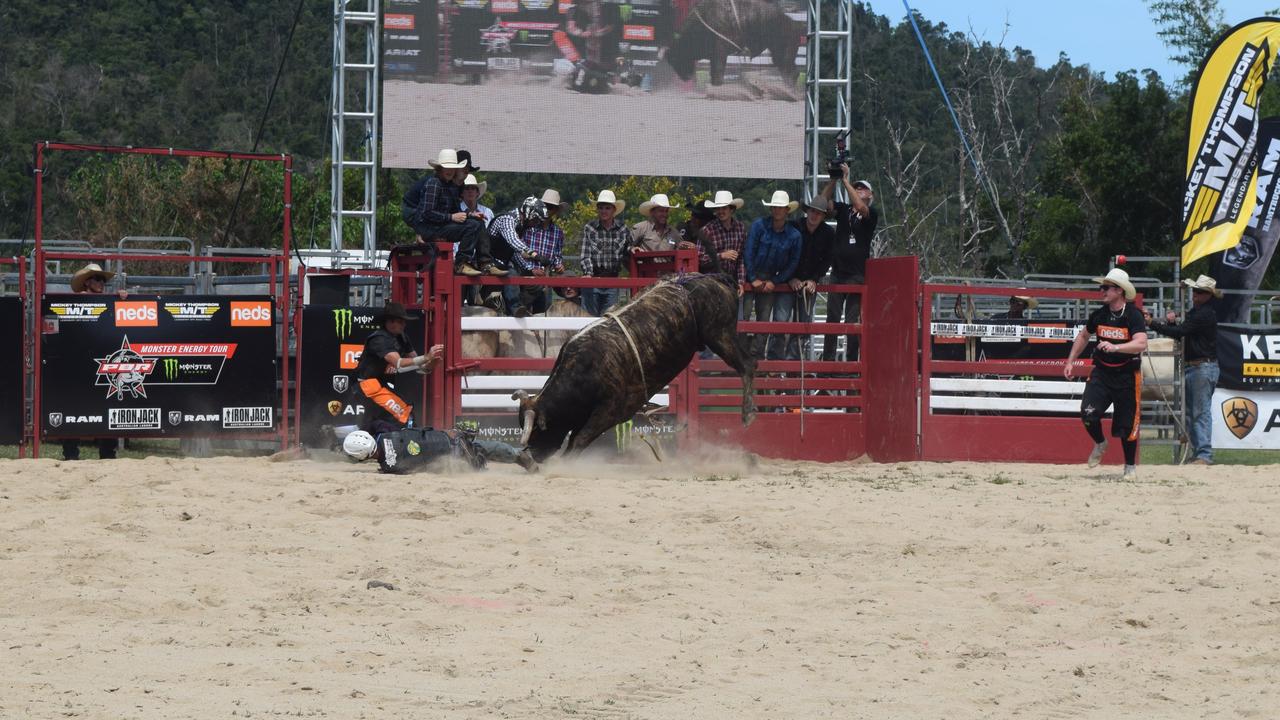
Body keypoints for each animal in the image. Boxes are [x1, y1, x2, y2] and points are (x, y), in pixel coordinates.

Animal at [509, 274, 747, 458]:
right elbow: (576, 435)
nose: (533, 457)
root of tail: (716, 278)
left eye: (538, 430)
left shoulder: (613, 410)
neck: (585, 368)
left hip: (720, 335)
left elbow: (580, 438)